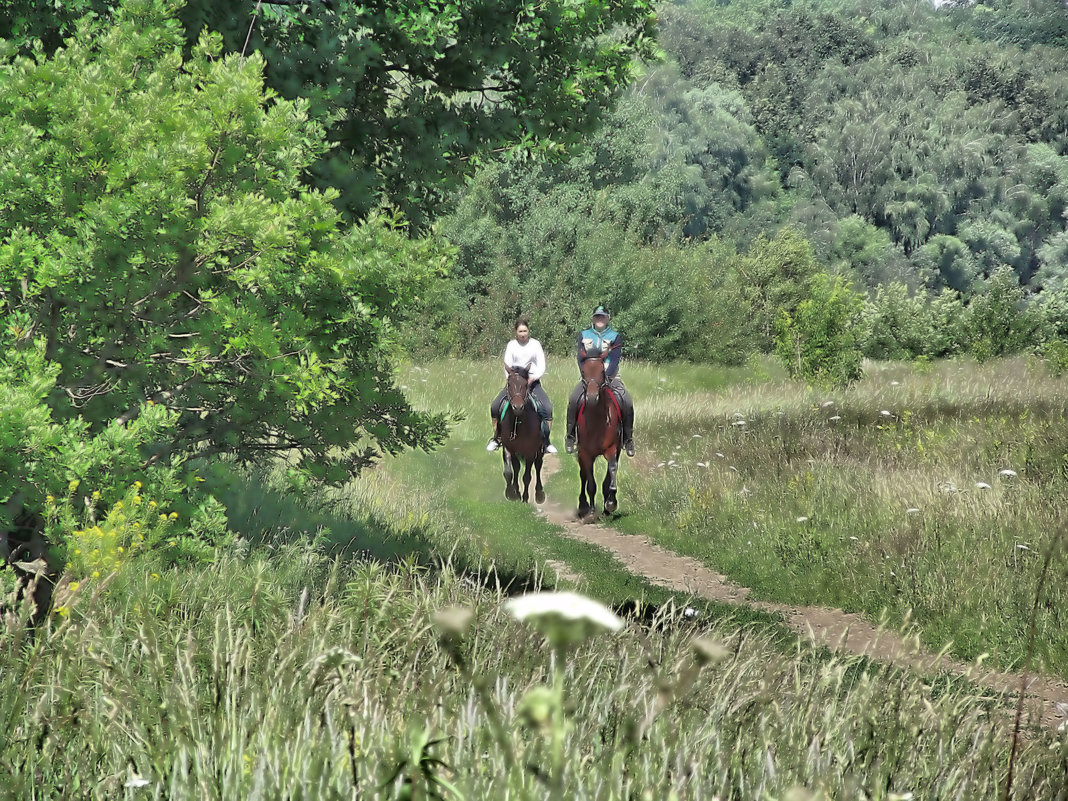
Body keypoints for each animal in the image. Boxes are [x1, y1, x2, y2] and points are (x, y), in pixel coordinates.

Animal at [499, 369, 546, 501]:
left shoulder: (530, 451)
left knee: (538, 465)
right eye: (509, 384)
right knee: (517, 468)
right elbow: (509, 472)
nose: (518, 407)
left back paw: (539, 493)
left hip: (539, 449)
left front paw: (525, 498)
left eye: (525, 385)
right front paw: (511, 494)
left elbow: (527, 477)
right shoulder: (508, 448)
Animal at [576, 354, 623, 516]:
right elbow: (590, 482)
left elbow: (612, 470)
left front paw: (610, 503)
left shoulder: (612, 449)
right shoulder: (586, 453)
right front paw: (591, 511)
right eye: (584, 372)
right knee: (583, 475)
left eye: (602, 371)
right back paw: (583, 505)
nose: (591, 398)